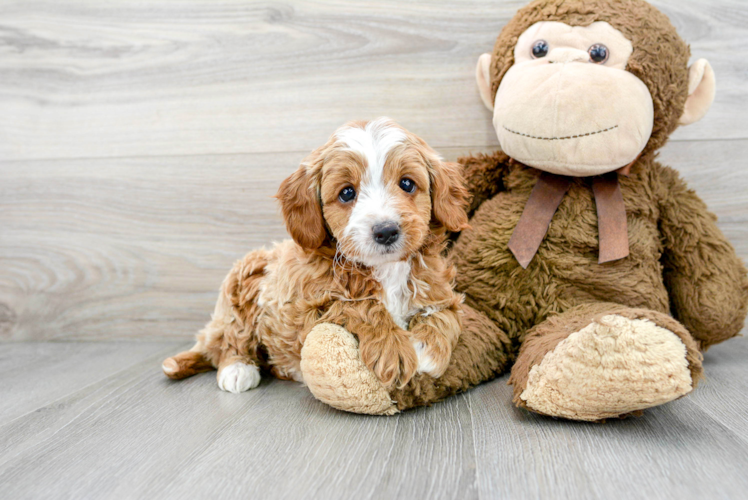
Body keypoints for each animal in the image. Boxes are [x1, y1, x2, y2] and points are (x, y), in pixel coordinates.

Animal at [163, 119, 468, 392]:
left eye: (407, 184)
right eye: (347, 193)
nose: (385, 231)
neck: (385, 270)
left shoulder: (440, 290)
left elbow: (447, 314)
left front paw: (428, 349)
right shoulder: (299, 310)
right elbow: (358, 306)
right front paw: (393, 348)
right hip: (244, 278)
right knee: (228, 338)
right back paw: (237, 369)